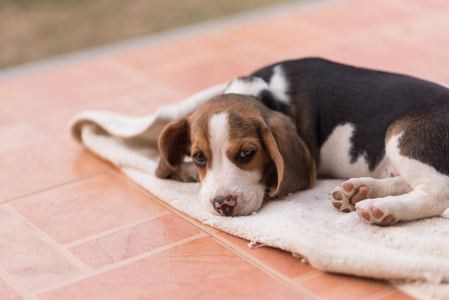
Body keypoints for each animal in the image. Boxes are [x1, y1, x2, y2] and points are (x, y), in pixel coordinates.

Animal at [156, 57, 448, 225]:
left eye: (247, 153)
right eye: (198, 157)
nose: (223, 204)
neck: (263, 94)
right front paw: (183, 170)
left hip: (403, 134)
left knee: (437, 191)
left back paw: (382, 207)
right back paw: (360, 190)